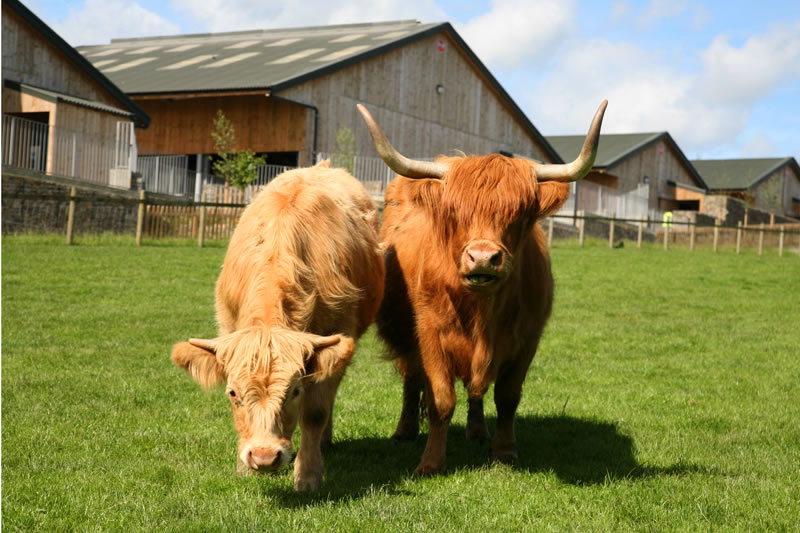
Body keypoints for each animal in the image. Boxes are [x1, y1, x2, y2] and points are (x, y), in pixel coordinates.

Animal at [173, 161, 386, 490]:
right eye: (232, 393)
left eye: (294, 391)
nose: (263, 456)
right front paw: (244, 467)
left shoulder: (338, 334)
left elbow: (315, 412)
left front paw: (308, 475)